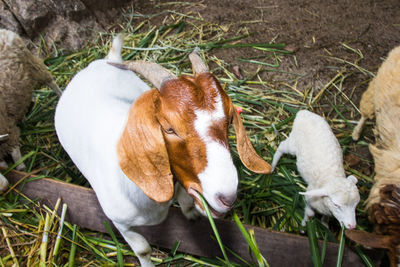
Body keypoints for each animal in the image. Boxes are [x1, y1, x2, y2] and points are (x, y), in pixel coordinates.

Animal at [0, 28, 61, 193]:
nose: (3, 187)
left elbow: (15, 152)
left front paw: (20, 167)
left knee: (50, 80)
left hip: (33, 64)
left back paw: (61, 93)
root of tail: (4, 31)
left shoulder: (8, 128)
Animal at [54, 34, 272, 266]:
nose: (227, 197)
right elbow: (142, 249)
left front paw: (191, 214)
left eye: (230, 119)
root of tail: (107, 59)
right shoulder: (120, 223)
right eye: (169, 128)